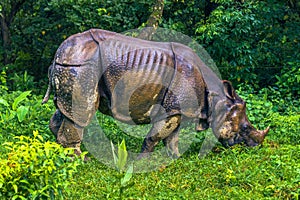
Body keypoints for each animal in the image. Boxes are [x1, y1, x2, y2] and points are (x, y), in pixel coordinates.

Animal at [42, 28, 270, 158]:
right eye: (245, 128)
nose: (251, 147)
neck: (216, 97)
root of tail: (58, 53)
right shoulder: (172, 109)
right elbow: (156, 135)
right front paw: (143, 160)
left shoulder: (180, 109)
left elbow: (172, 138)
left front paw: (175, 158)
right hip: (82, 65)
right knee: (81, 114)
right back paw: (79, 160)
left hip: (73, 64)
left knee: (65, 110)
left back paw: (61, 153)